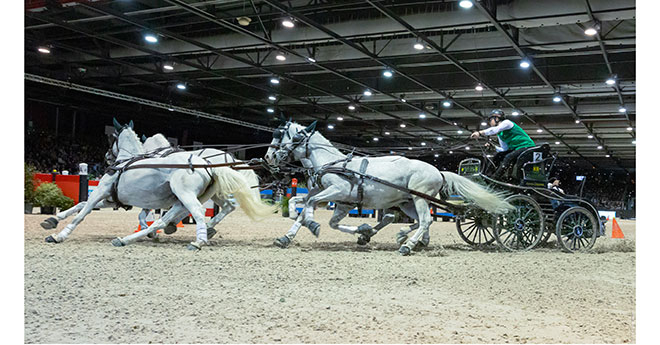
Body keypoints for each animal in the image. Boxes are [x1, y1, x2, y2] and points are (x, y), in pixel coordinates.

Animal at [42, 120, 274, 247]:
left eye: (111, 139)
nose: (107, 157)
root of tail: (212, 163)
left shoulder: (102, 191)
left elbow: (83, 211)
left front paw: (59, 234)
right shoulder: (113, 199)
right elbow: (82, 205)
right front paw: (52, 220)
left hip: (191, 195)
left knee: (211, 209)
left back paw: (199, 236)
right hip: (196, 196)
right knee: (220, 208)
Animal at [264, 120, 516, 253]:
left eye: (287, 137)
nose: (268, 157)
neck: (333, 164)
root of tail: (438, 170)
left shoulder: (338, 193)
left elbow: (312, 208)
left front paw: (314, 225)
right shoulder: (340, 201)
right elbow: (310, 207)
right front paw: (286, 236)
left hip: (420, 198)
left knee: (426, 220)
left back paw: (408, 245)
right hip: (407, 202)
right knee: (417, 220)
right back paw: (414, 240)